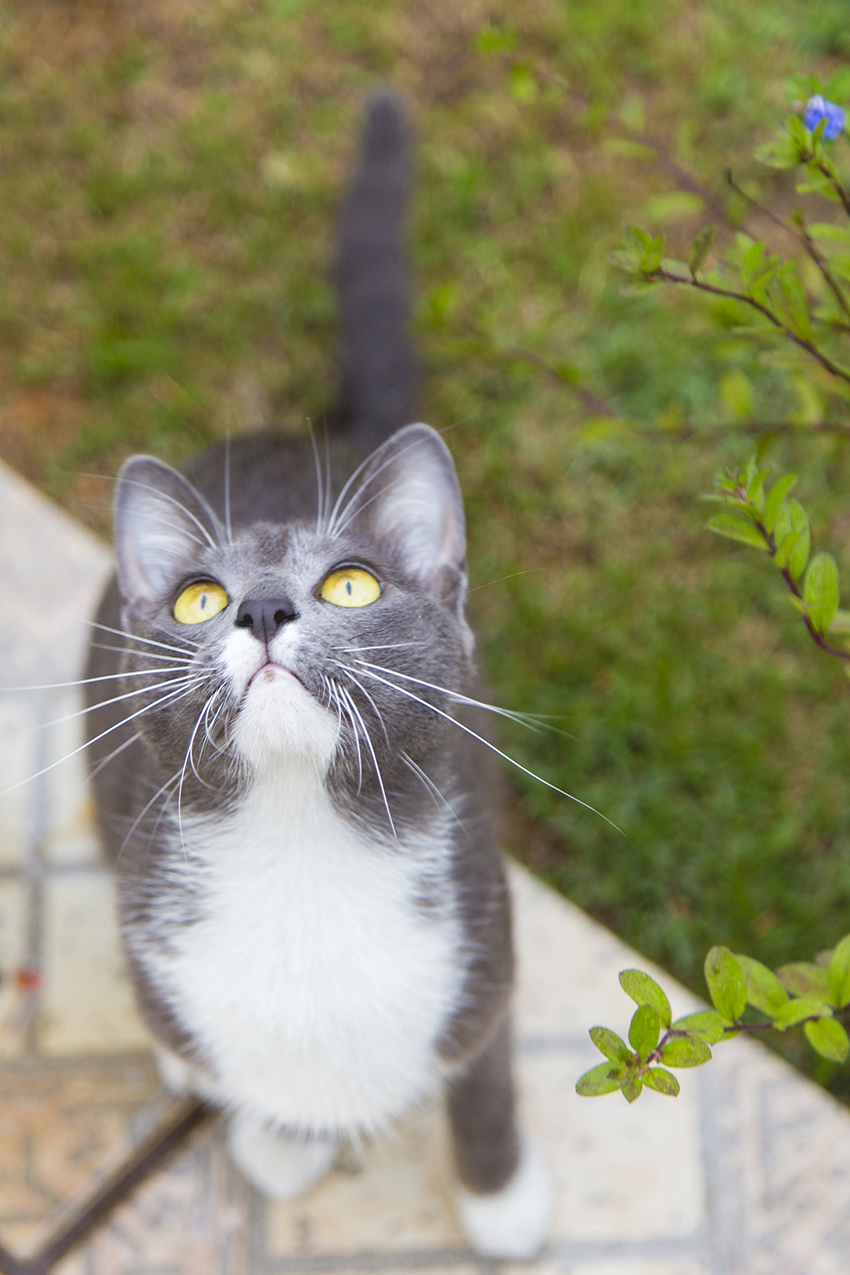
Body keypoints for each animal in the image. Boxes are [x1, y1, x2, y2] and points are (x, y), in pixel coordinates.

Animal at [84, 94, 553, 1259]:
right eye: (197, 599)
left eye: (350, 584)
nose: (258, 609)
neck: (301, 847)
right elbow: (248, 1065)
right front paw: (280, 1138)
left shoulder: (482, 934)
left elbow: (484, 1073)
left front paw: (501, 1200)